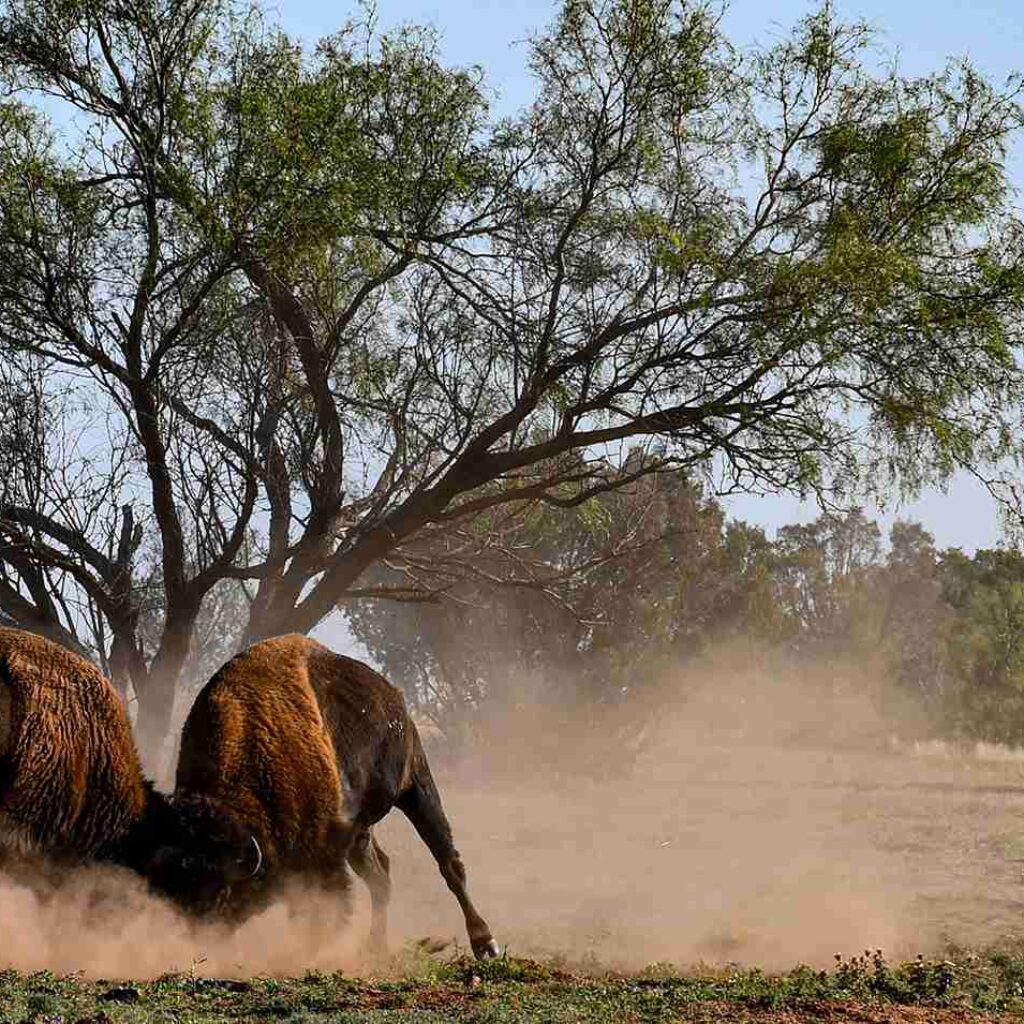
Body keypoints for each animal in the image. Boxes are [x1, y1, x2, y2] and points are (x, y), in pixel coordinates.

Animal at [148, 630, 499, 958]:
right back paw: (375, 948)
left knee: (449, 863)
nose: (203, 940)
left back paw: (485, 943)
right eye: (175, 897)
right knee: (381, 875)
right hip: (362, 832)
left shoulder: (324, 854)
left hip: (416, 786)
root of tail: (393, 697)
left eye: (222, 893)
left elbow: (324, 906)